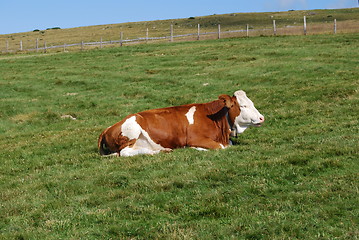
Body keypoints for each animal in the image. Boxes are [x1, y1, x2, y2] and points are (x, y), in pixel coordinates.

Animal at [98, 90, 264, 158]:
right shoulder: (195, 138)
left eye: (251, 102)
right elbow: (221, 147)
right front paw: (196, 149)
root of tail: (108, 128)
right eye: (243, 106)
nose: (262, 118)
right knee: (125, 153)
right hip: (132, 130)